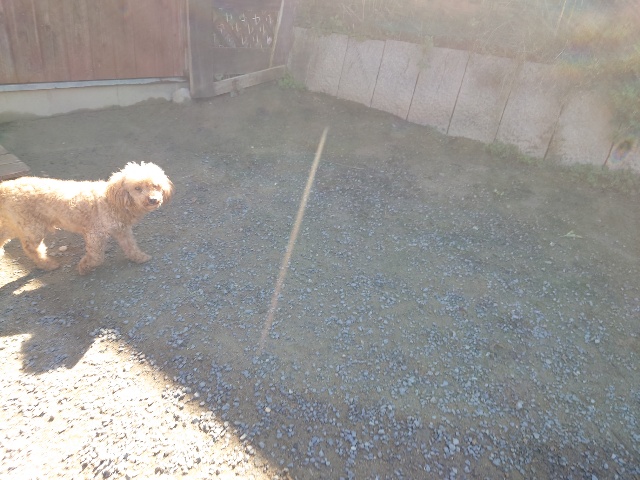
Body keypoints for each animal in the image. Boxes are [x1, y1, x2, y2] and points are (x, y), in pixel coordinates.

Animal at [0, 162, 173, 274]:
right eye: (137, 188)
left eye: (156, 186)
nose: (153, 199)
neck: (112, 201)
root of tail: (5, 187)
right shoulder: (95, 234)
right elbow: (96, 257)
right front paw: (84, 267)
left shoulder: (122, 230)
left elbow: (131, 246)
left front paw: (139, 257)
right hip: (33, 227)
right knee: (31, 248)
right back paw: (48, 264)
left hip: (16, 223)